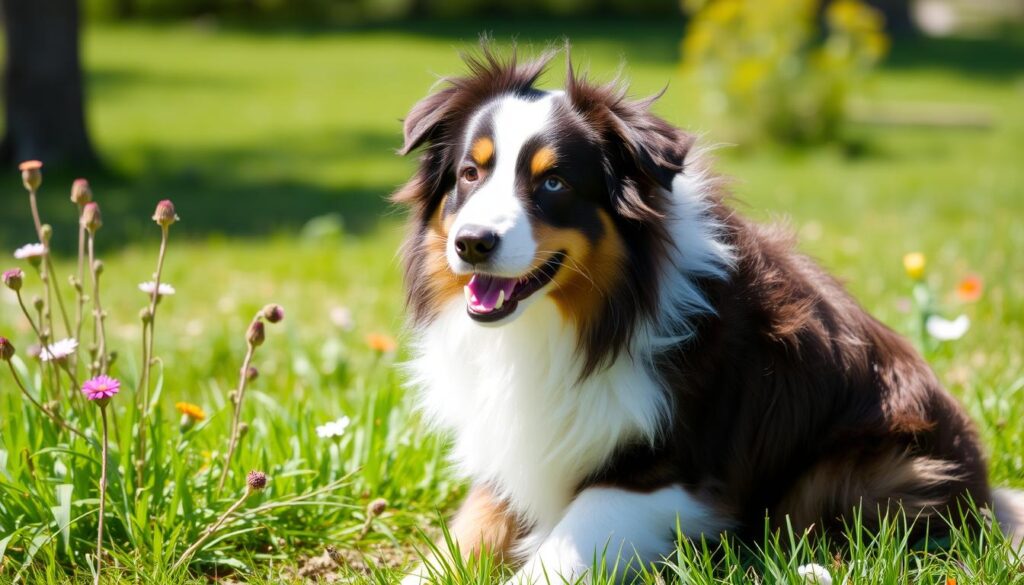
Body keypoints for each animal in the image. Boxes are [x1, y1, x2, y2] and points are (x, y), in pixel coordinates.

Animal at [389, 48, 1015, 581]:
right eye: (471, 174)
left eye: (554, 182)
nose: (472, 243)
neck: (582, 321)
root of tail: (984, 488)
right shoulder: (515, 452)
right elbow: (462, 537)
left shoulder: (664, 476)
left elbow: (555, 556)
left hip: (868, 467)